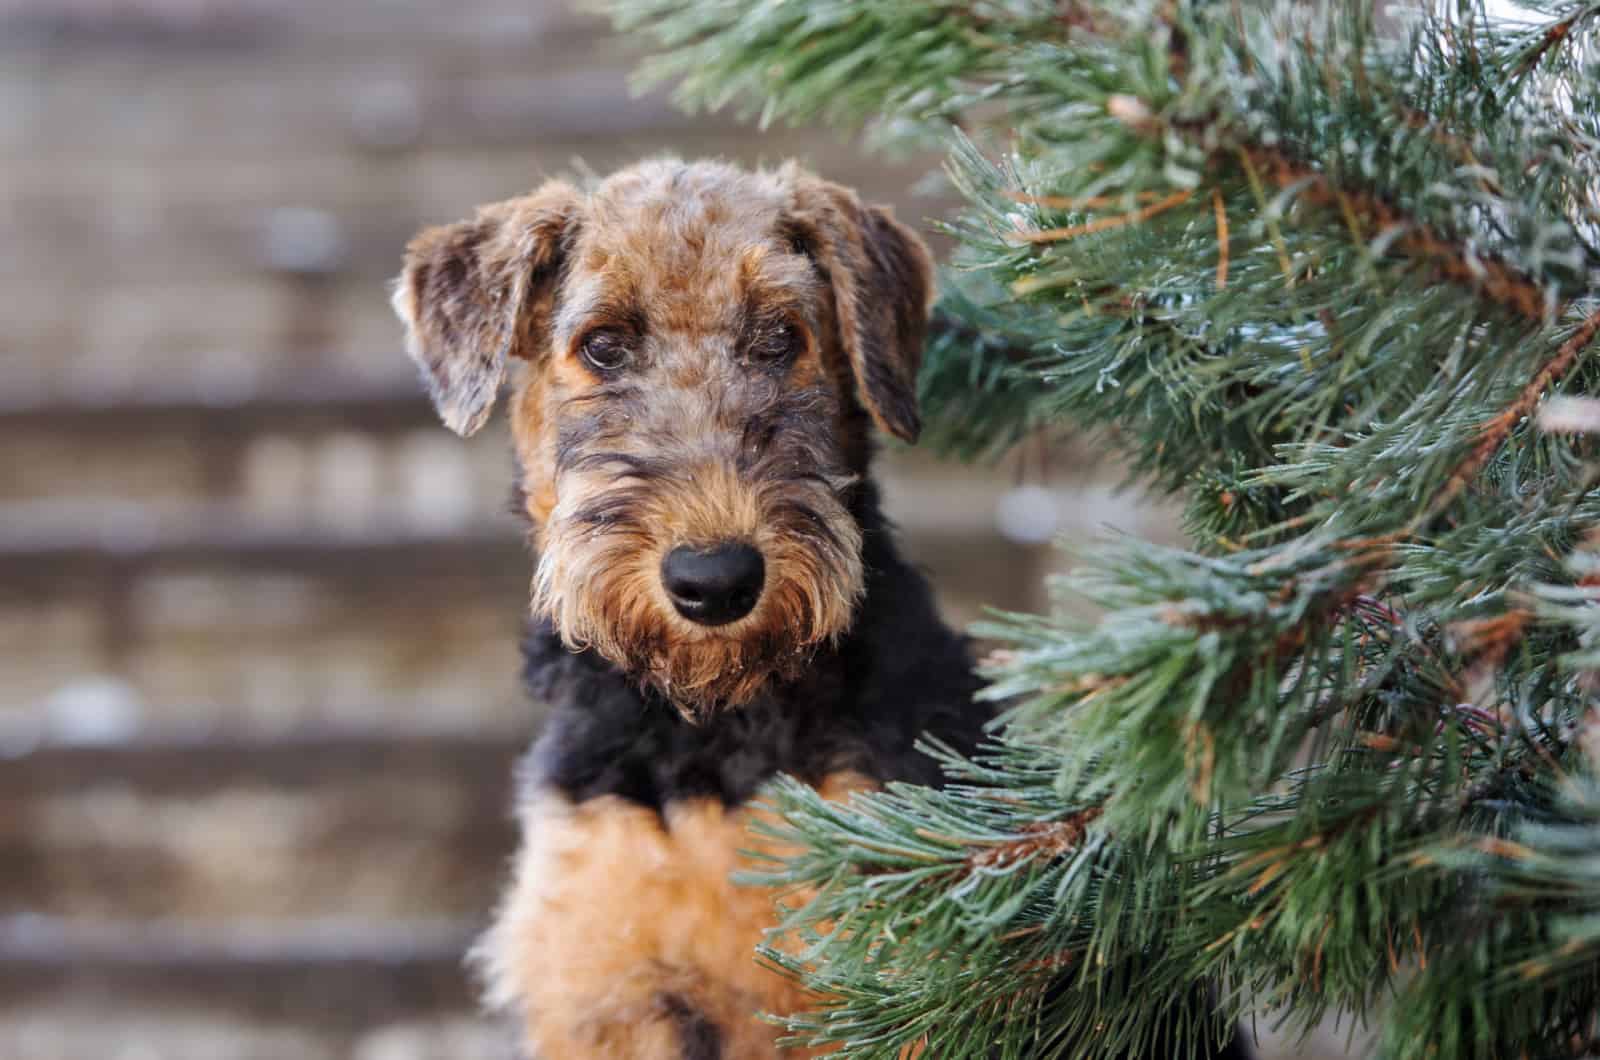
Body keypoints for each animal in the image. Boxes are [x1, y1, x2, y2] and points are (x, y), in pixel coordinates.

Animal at [390, 157, 1248, 1060]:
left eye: (780, 336)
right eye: (603, 344)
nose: (714, 581)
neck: (720, 738)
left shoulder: (903, 994)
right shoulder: (609, 988)